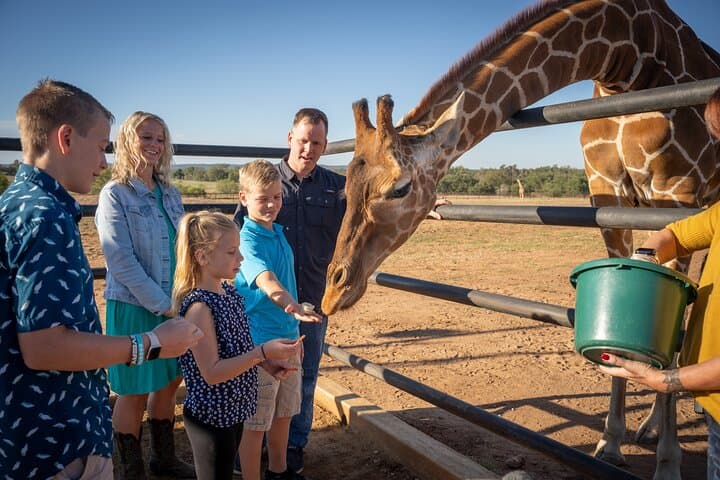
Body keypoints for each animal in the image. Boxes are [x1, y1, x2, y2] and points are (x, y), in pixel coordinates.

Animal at [321, 1, 720, 478]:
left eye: (399, 188)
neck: (626, 56)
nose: (332, 292)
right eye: (344, 186)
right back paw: (654, 425)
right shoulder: (607, 196)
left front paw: (667, 463)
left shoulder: (677, 196)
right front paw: (610, 443)